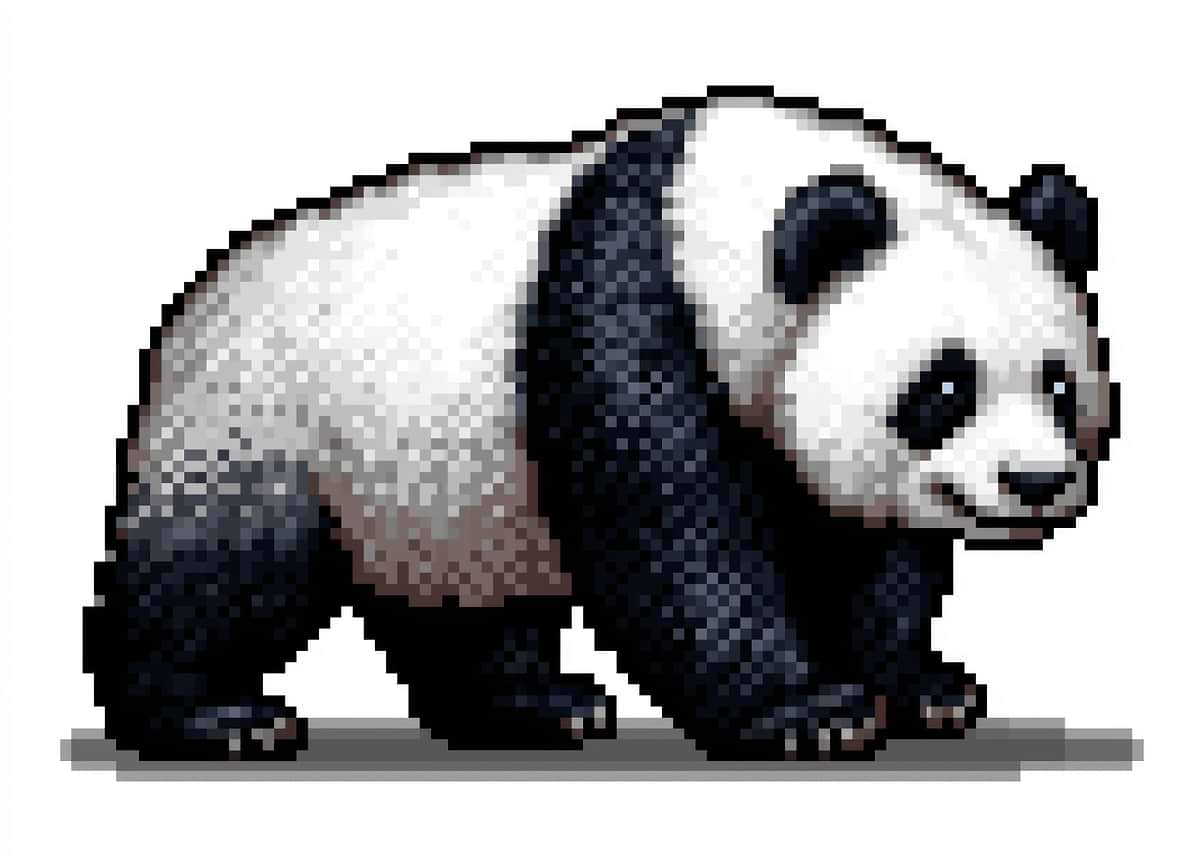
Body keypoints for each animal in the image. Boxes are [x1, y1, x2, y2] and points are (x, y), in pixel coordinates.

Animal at [85, 87, 1117, 762]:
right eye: (945, 386)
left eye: (1061, 386)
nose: (1034, 482)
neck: (714, 221)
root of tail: (186, 312)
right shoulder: (626, 323)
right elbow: (676, 543)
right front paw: (809, 713)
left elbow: (866, 554)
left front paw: (922, 687)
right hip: (268, 420)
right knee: (224, 569)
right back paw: (215, 717)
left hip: (435, 488)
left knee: (473, 609)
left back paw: (533, 704)